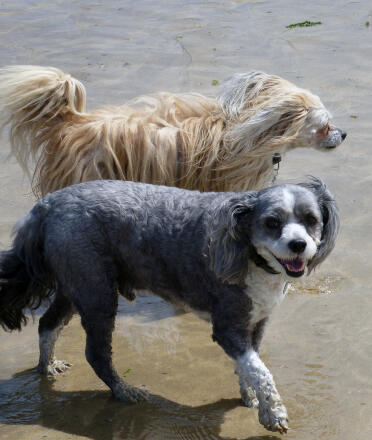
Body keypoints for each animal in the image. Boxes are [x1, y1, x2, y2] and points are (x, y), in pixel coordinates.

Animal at [0, 179, 338, 434]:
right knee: (95, 353)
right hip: (97, 293)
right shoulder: (227, 327)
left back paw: (47, 367)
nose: (298, 245)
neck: (245, 249)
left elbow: (250, 366)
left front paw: (250, 397)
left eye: (311, 220)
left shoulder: (256, 323)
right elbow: (260, 370)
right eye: (272, 223)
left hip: (76, 286)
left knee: (48, 325)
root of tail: (47, 205)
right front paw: (273, 413)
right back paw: (124, 390)